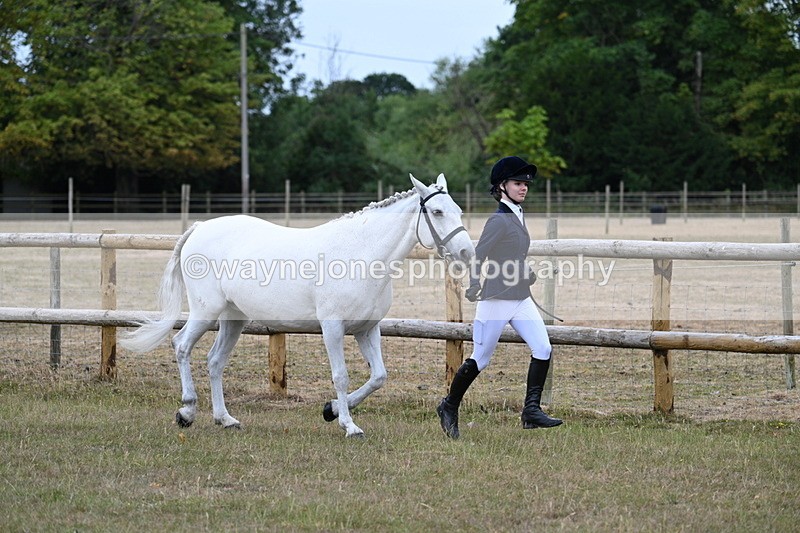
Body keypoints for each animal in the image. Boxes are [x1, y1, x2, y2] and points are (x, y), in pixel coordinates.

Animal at [120, 173, 475, 437]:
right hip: (205, 312)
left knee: (214, 361)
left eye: (458, 209)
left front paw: (332, 410)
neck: (361, 255)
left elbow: (379, 377)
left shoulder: (367, 329)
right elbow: (341, 376)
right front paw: (349, 426)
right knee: (181, 346)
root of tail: (199, 228)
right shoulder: (332, 327)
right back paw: (187, 411)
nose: (466, 253)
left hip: (234, 319)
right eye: (438, 212)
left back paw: (226, 419)